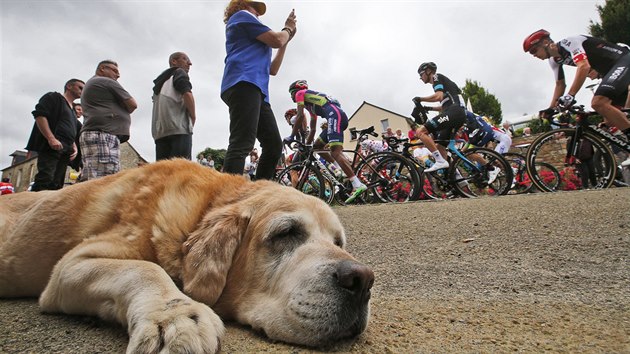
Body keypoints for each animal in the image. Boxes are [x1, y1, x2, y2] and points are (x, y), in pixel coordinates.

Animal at [0, 160, 376, 352]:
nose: (363, 280)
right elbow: (144, 269)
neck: (202, 210)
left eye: (339, 241)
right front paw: (177, 318)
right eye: (286, 233)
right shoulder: (68, 268)